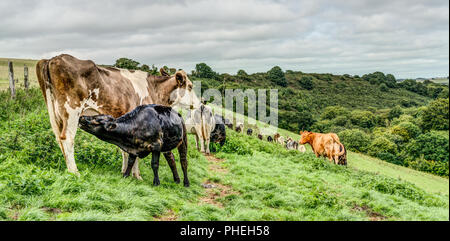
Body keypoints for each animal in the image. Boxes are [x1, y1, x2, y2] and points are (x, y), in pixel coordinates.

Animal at [34, 54, 198, 179]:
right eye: (190, 86)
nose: (198, 103)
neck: (154, 89)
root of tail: (53, 59)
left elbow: (125, 150)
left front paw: (125, 172)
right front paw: (137, 176)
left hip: (56, 115)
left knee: (59, 139)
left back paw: (68, 169)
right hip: (72, 111)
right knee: (67, 138)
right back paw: (75, 172)